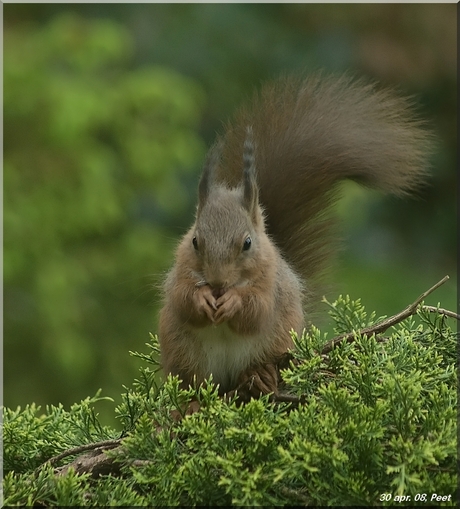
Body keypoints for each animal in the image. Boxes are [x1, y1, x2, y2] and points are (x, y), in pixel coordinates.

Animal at [158, 71, 432, 396]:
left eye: (247, 243)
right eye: (195, 241)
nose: (217, 283)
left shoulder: (270, 282)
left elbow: (257, 310)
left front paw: (234, 302)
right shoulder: (180, 272)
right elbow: (182, 298)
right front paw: (201, 299)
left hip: (278, 340)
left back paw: (259, 375)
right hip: (182, 352)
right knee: (192, 382)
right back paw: (190, 402)